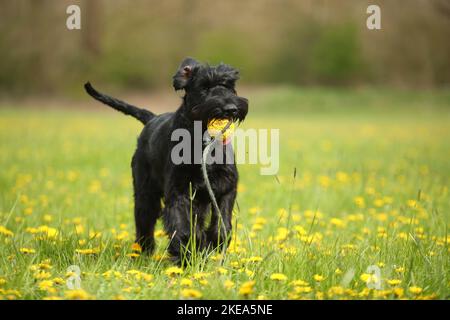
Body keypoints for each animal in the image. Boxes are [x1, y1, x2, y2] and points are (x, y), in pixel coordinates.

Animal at [82, 57, 248, 262]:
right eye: (205, 87)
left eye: (229, 86)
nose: (231, 109)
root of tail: (151, 119)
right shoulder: (179, 191)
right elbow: (184, 228)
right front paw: (185, 256)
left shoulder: (225, 188)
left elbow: (222, 225)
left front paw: (208, 246)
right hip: (145, 191)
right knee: (144, 220)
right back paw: (144, 253)